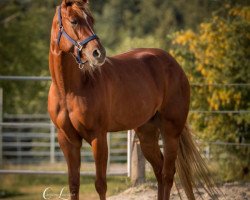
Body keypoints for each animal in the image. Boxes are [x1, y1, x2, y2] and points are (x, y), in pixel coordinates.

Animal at [47, 0, 218, 200]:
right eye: (74, 21)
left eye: (91, 20)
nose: (98, 53)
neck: (70, 89)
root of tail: (174, 64)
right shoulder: (67, 140)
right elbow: (73, 185)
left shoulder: (98, 137)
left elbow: (100, 184)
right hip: (146, 133)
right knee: (159, 170)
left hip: (170, 131)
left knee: (168, 174)